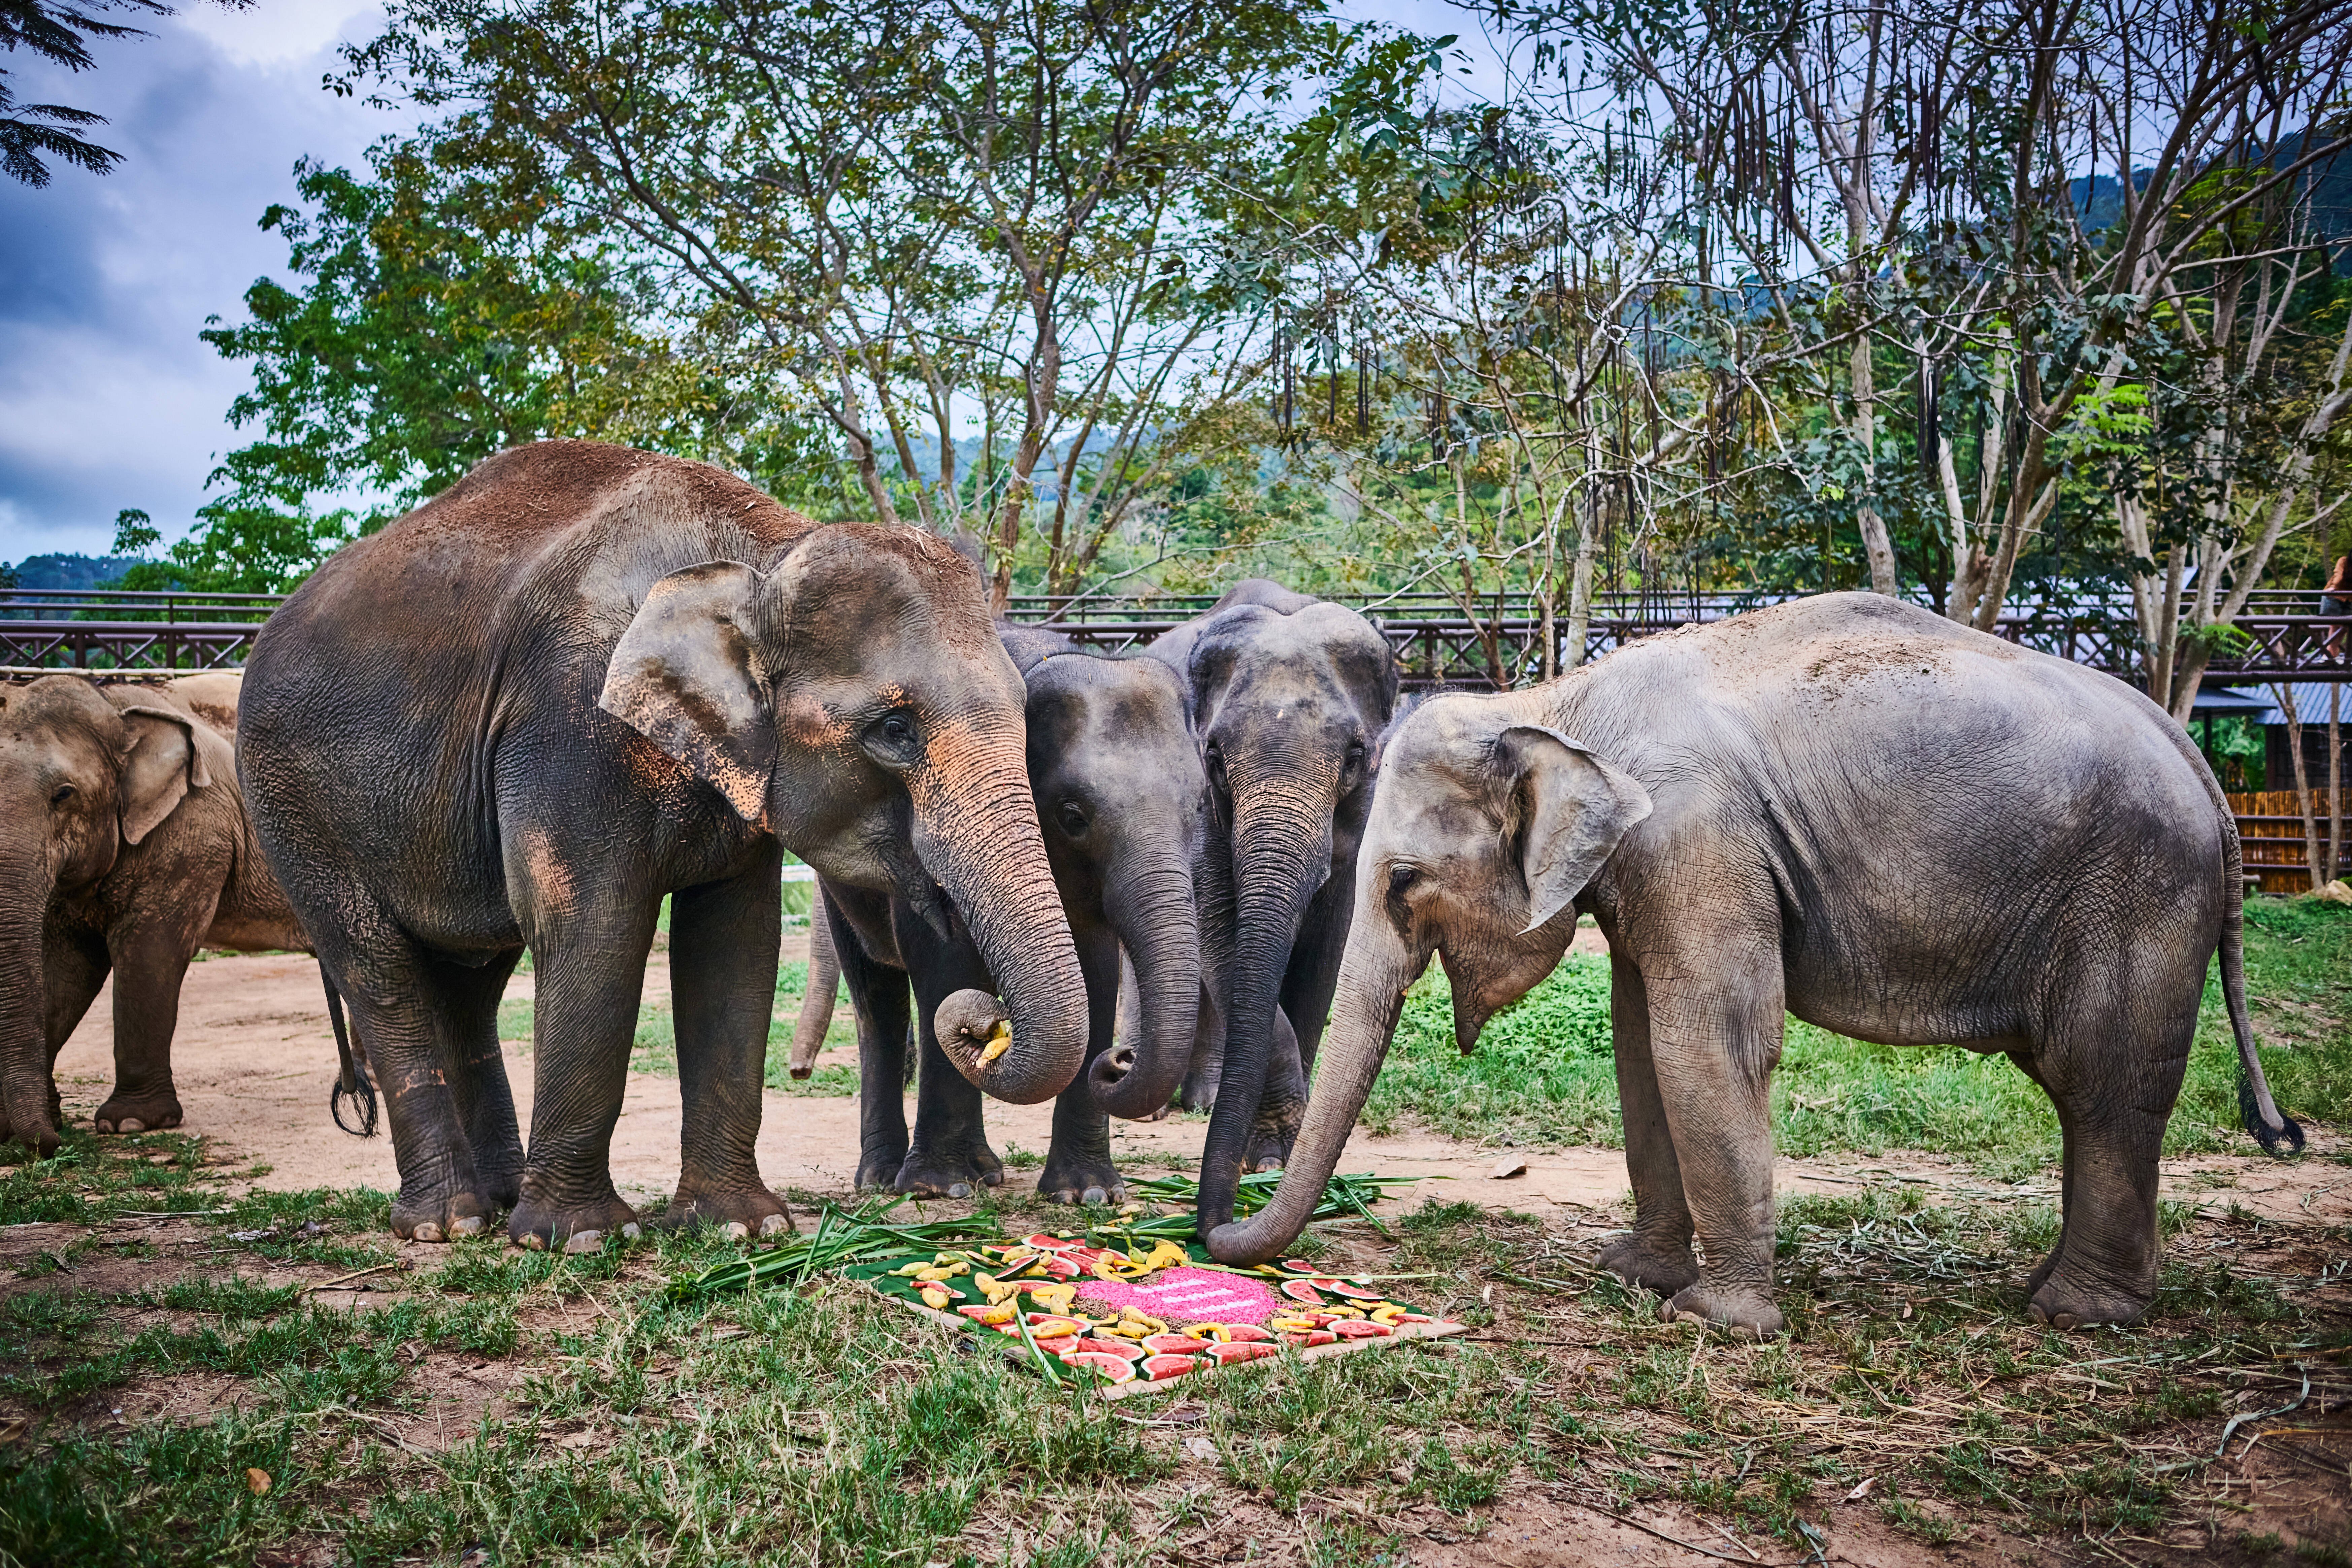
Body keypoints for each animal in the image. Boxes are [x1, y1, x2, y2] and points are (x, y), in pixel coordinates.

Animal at [0, 672, 317, 1151]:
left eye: (63, 795)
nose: (55, 1142)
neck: (113, 706)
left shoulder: (194, 831)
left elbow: (149, 949)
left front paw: (130, 1124)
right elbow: (65, 965)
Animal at [236, 439, 1087, 1249]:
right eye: (895, 729)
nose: (980, 1023)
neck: (764, 551)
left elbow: (735, 944)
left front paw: (743, 1229)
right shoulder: (570, 725)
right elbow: (593, 926)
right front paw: (579, 1238)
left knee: (473, 979)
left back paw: (498, 1201)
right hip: (292, 803)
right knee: (379, 968)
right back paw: (449, 1223)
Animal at [788, 623, 1212, 1202]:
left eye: (1199, 805)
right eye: (1073, 815)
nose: (1119, 1059)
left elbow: (1096, 972)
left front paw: (1088, 1194)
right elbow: (942, 963)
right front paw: (941, 1187)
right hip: (840, 889)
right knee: (876, 995)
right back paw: (881, 1179)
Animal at [1144, 579, 1397, 1236]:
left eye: (1355, 755)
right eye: (1213, 755)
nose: (1213, 1227)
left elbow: (1324, 957)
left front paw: (1284, 1158)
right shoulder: (1202, 806)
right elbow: (1222, 939)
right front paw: (1271, 1155)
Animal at [1206, 592, 2298, 1334]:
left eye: (1401, 881)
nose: (1215, 1228)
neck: (1560, 702)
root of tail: (2192, 754)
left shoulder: (1697, 835)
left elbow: (1709, 1039)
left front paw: (1715, 1320)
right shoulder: (1650, 864)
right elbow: (1641, 1045)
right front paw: (1631, 1275)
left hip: (2139, 892)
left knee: (2102, 1080)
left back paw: (2075, 1313)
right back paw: (2058, 1295)